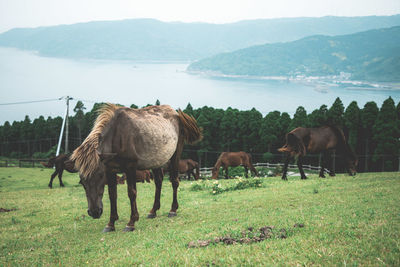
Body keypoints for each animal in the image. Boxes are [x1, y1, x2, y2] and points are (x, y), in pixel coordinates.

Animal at [69, 103, 203, 233]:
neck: (117, 136)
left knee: (175, 181)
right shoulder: (110, 170)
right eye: (82, 182)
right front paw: (110, 224)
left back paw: (173, 210)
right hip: (156, 161)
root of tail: (176, 114)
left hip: (175, 155)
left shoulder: (130, 168)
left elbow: (132, 193)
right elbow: (112, 195)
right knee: (158, 182)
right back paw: (153, 211)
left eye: (100, 176)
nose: (94, 212)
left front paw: (131, 223)